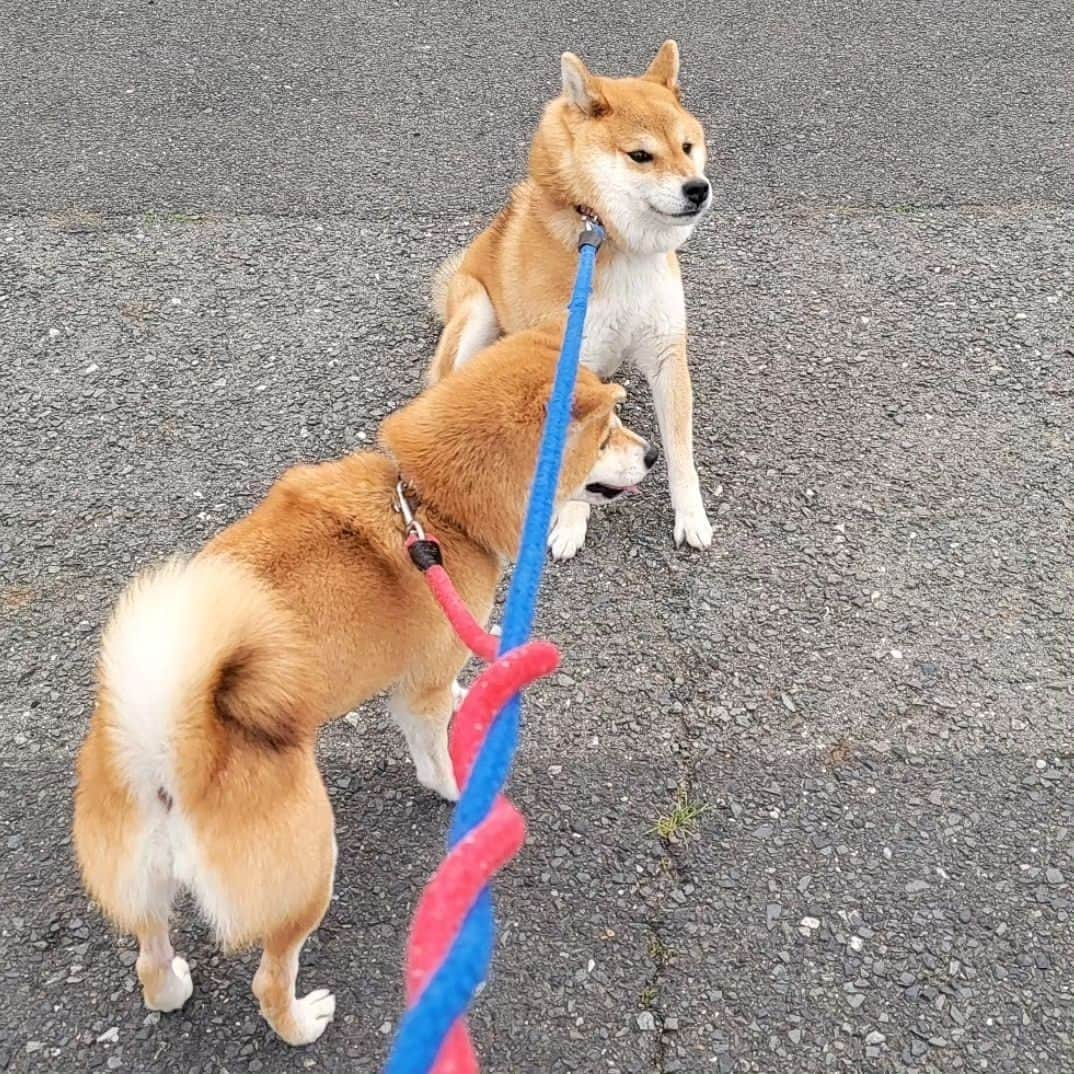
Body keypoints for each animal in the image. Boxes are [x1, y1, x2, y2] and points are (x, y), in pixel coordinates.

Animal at [71, 328, 652, 1048]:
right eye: (607, 435)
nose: (653, 455)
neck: (431, 506)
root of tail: (169, 752)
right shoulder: (418, 691)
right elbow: (436, 755)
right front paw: (459, 793)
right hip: (309, 871)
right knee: (270, 980)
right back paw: (302, 1022)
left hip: (143, 887)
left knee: (151, 961)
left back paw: (173, 985)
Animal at [427, 39, 713, 562]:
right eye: (641, 155)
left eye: (687, 147)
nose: (697, 189)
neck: (612, 243)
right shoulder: (573, 354)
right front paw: (571, 523)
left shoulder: (666, 352)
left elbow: (680, 452)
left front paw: (691, 517)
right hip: (476, 312)